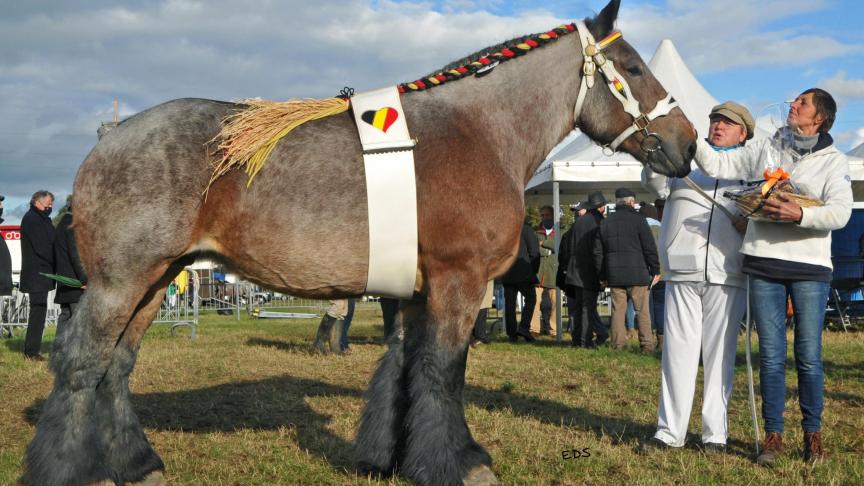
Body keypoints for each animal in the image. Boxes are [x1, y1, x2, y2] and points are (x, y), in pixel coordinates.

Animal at [25, 0, 696, 486]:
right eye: (635, 68)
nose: (687, 143)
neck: (478, 133)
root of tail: (110, 137)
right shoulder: (459, 281)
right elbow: (441, 372)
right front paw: (460, 463)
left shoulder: (412, 289)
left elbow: (402, 367)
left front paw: (392, 459)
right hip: (121, 283)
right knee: (82, 362)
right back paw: (69, 470)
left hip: (158, 280)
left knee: (116, 367)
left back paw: (138, 465)